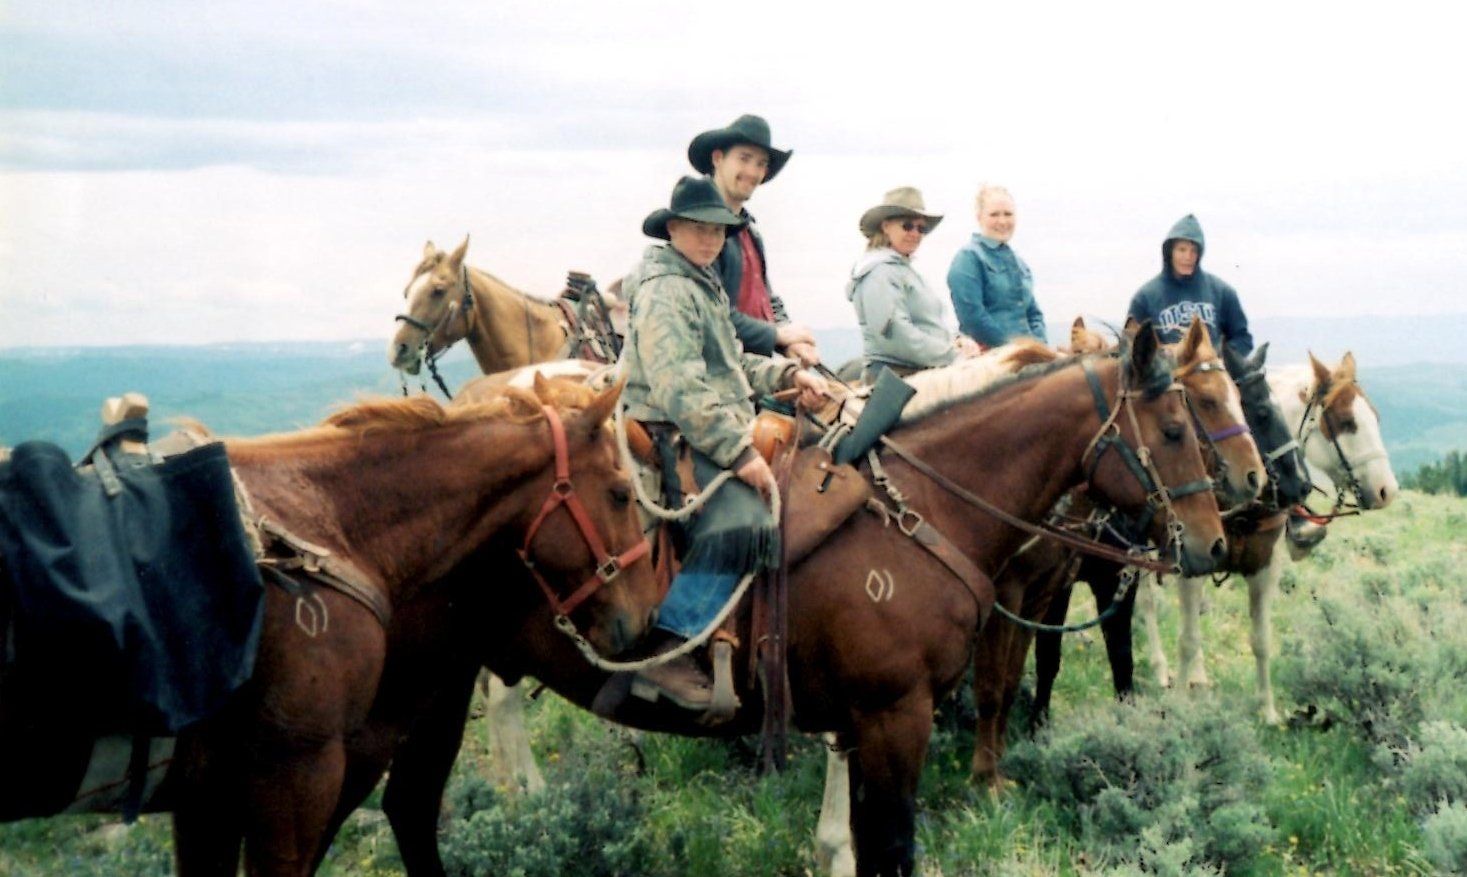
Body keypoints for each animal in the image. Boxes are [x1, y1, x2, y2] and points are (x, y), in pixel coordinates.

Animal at [330, 329, 1226, 877]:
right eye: (1176, 427)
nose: (1213, 543)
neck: (923, 511)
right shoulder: (894, 715)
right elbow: (892, 844)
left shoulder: (860, 722)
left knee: (411, 805)